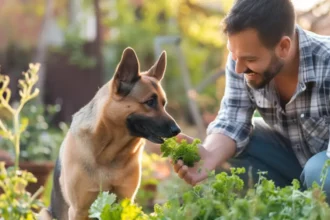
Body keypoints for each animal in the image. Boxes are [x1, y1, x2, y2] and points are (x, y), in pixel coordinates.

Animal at [40, 47, 182, 219]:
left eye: (163, 103)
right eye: (150, 102)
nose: (177, 130)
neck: (109, 156)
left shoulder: (126, 201)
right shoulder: (79, 209)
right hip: (43, 213)